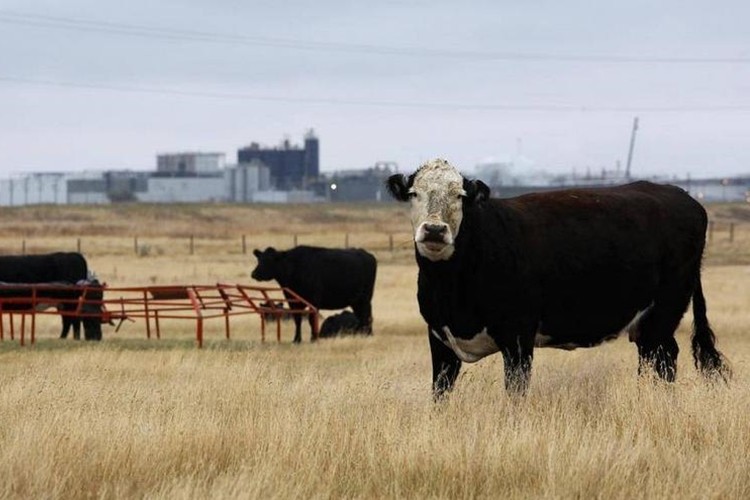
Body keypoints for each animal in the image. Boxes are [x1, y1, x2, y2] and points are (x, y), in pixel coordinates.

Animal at [390, 158, 732, 400]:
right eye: (414, 193)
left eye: (459, 195)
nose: (434, 230)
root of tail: (682, 195)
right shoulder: (440, 338)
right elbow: (439, 393)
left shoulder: (518, 338)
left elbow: (515, 394)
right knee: (653, 358)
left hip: (664, 310)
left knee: (663, 359)